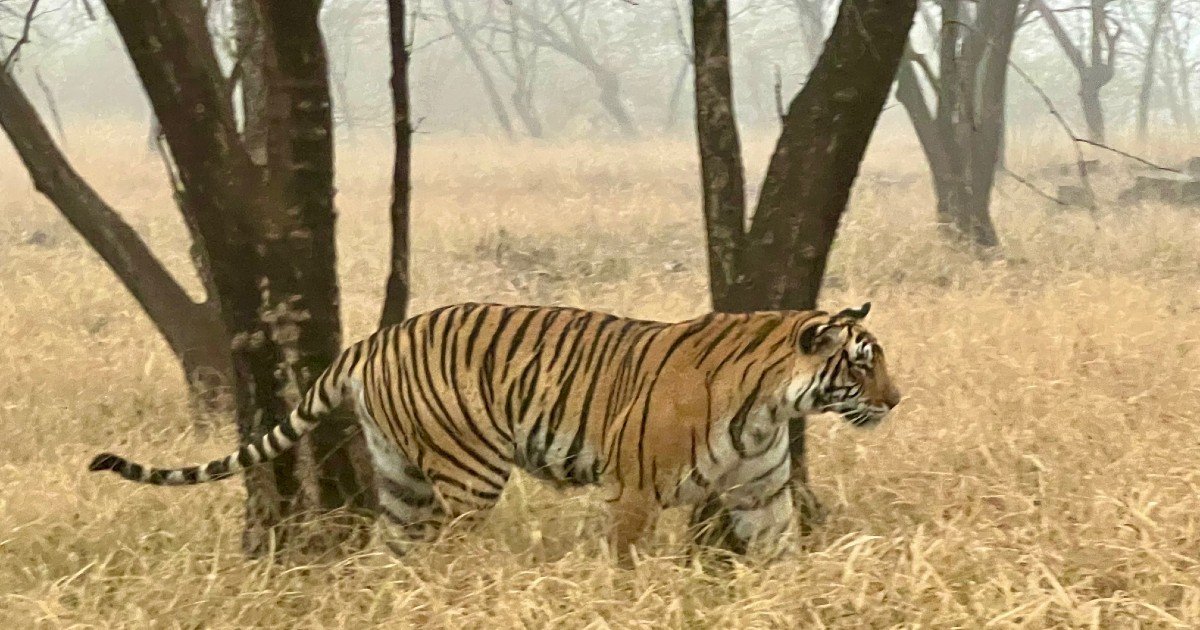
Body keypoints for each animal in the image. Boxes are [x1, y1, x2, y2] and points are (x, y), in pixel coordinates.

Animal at [89, 301, 900, 561]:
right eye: (862, 364)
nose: (898, 400)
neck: (772, 408)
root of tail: (373, 339)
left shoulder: (763, 497)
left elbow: (782, 556)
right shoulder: (633, 490)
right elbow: (625, 563)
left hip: (402, 481)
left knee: (398, 554)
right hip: (468, 471)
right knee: (450, 551)